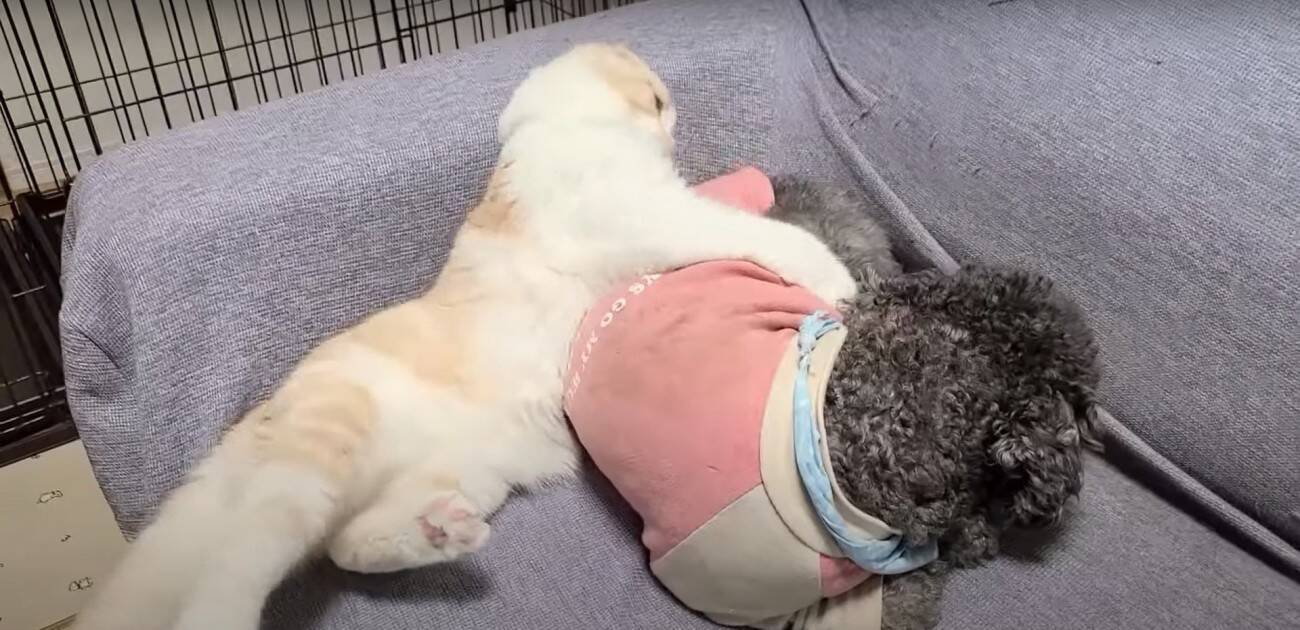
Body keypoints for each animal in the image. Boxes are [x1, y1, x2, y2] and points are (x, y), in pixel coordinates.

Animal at [74, 43, 858, 630]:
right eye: (659, 101)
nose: (673, 127)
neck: (551, 133)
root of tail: (258, 423)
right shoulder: (657, 217)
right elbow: (761, 234)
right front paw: (834, 276)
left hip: (459, 477)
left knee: (347, 545)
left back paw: (440, 534)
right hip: (321, 447)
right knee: (243, 562)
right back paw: (231, 612)